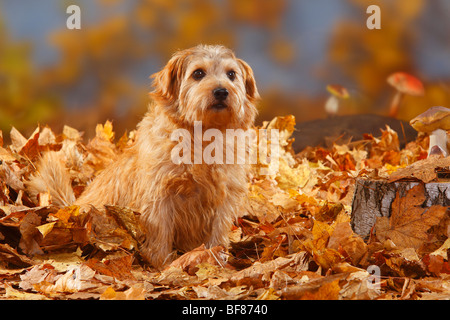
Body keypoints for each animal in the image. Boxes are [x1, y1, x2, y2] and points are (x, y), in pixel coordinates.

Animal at [27, 45, 260, 268]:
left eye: (231, 74)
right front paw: (163, 265)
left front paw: (216, 258)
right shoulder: (159, 195)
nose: (221, 91)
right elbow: (161, 234)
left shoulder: (225, 197)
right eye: (198, 73)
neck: (204, 137)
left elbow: (218, 232)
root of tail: (71, 207)